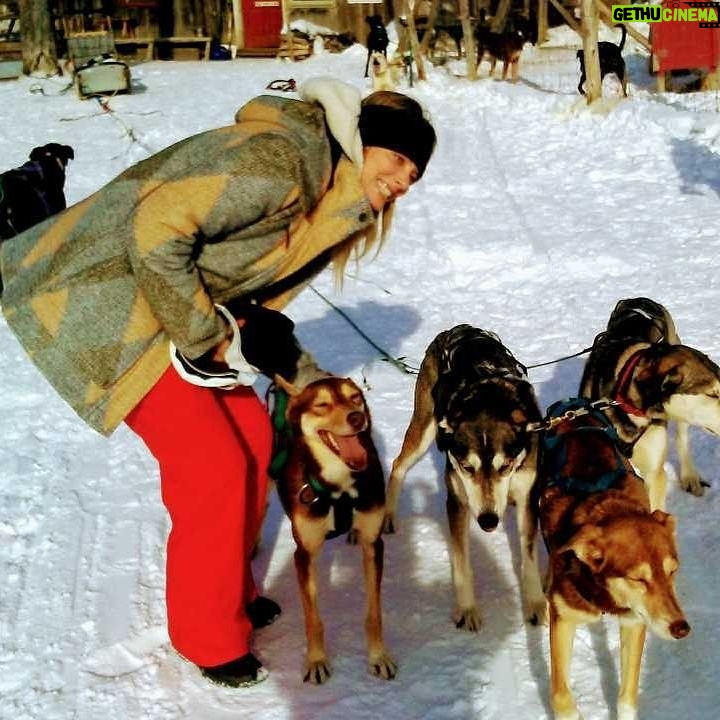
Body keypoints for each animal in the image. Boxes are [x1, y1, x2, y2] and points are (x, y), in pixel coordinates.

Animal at [272, 374, 396, 684]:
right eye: (322, 404)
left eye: (355, 397)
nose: (357, 417)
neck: (340, 489)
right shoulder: (303, 555)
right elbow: (313, 618)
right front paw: (316, 661)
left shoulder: (374, 545)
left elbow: (374, 613)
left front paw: (378, 656)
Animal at [388, 324, 544, 628]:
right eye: (466, 467)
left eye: (506, 466)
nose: (488, 521)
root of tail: (459, 329)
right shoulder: (457, 502)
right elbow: (461, 562)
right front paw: (468, 608)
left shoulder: (527, 497)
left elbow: (529, 556)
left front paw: (535, 603)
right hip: (423, 428)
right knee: (397, 464)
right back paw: (387, 515)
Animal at [536, 400, 688, 720]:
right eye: (638, 578)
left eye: (672, 572)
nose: (681, 628)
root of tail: (573, 408)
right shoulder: (564, 620)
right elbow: (561, 697)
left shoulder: (635, 621)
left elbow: (627, 697)